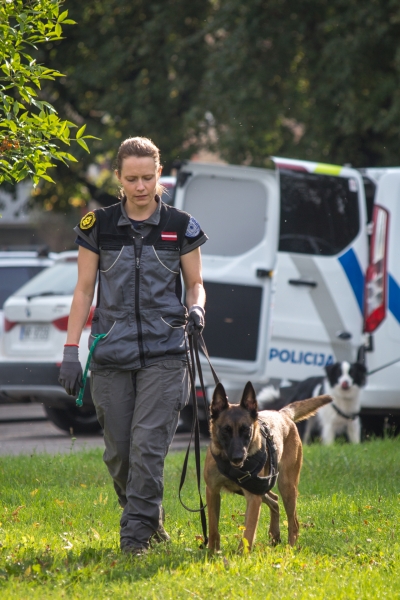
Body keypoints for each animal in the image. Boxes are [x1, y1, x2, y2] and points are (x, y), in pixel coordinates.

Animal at [203, 382, 332, 552]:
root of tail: (282, 414)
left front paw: (241, 555)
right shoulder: (212, 492)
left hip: (286, 486)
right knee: (275, 499)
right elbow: (213, 528)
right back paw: (275, 534)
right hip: (262, 488)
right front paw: (212, 553)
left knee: (294, 522)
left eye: (246, 429)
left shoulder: (253, 498)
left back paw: (290, 549)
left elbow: (248, 533)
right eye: (226, 430)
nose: (238, 457)